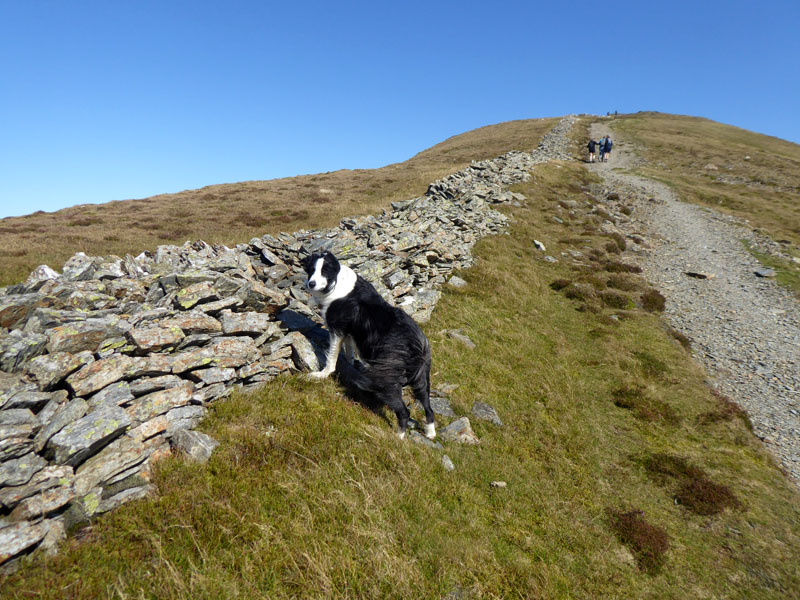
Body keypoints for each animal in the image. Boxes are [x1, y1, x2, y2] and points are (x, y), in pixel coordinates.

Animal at [302, 251, 438, 438]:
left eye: (324, 271)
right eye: (311, 269)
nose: (311, 284)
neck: (336, 281)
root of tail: (417, 346)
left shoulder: (336, 330)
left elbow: (331, 358)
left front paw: (321, 375)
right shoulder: (348, 333)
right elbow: (349, 352)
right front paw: (351, 366)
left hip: (386, 378)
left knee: (404, 412)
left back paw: (397, 438)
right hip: (422, 378)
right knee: (428, 407)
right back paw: (430, 433)